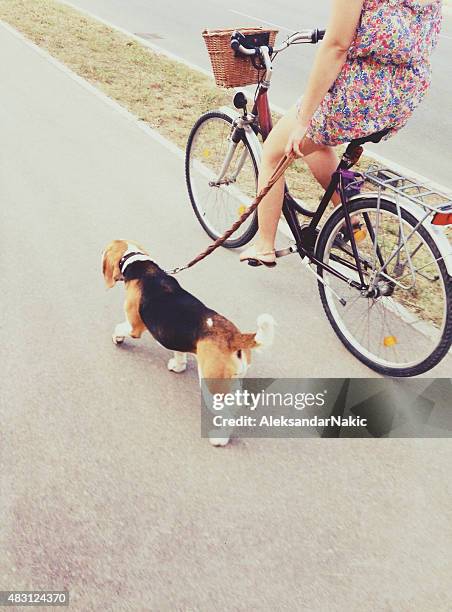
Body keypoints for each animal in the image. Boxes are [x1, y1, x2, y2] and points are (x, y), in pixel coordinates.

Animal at [101, 239, 274, 440]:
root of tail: (234, 337)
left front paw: (117, 338)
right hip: (232, 381)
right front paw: (178, 367)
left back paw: (219, 438)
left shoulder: (134, 326)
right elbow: (179, 354)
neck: (139, 264)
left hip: (211, 385)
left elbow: (120, 327)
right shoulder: (174, 335)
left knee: (227, 415)